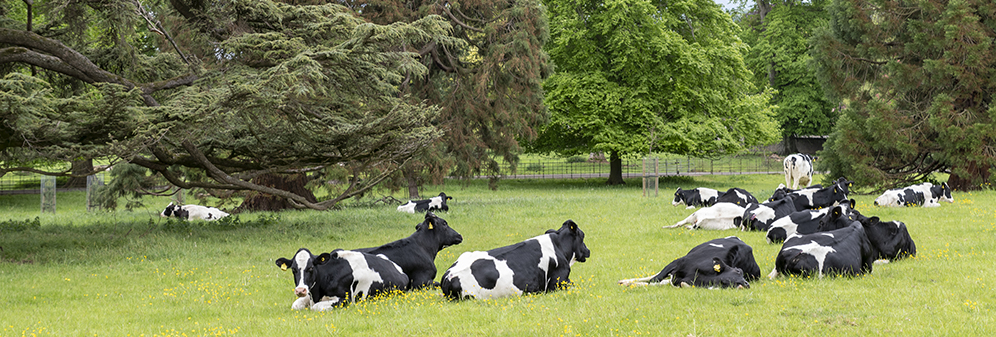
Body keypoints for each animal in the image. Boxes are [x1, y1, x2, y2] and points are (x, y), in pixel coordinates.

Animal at [272, 247, 408, 310]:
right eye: (293, 270)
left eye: (310, 268)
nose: (300, 290)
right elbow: (295, 305)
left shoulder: (346, 299)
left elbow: (316, 307)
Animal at [616, 235, 764, 288]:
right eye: (738, 271)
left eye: (743, 275)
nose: (746, 284)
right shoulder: (676, 262)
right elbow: (655, 279)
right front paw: (630, 283)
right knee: (656, 276)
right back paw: (626, 281)